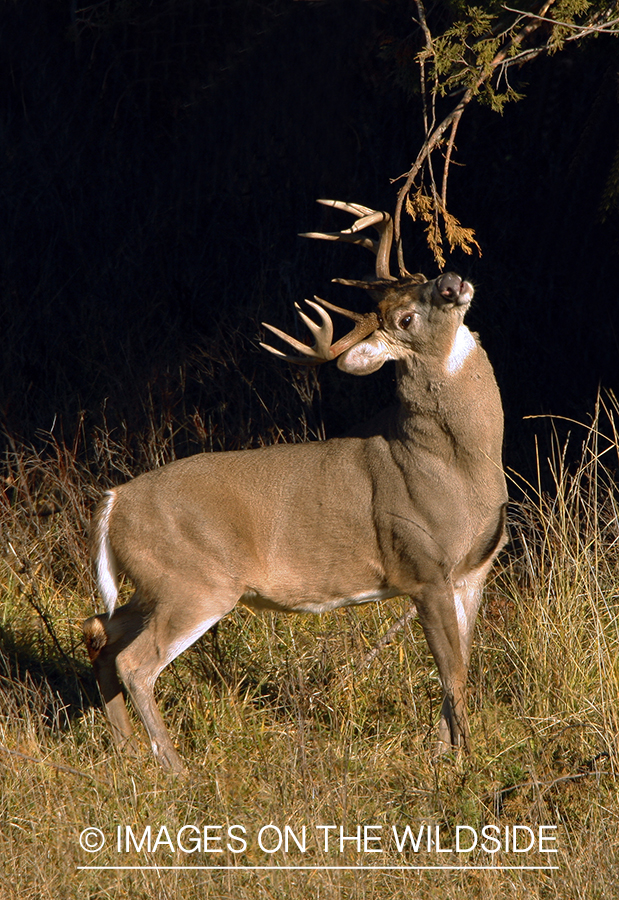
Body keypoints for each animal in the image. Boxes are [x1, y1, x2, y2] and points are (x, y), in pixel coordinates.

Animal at [82, 199, 508, 772]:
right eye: (404, 318)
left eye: (420, 278)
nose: (450, 281)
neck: (454, 468)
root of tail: (113, 502)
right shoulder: (423, 567)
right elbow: (454, 675)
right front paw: (471, 761)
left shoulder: (471, 573)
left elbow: (456, 672)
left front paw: (442, 755)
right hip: (195, 582)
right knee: (134, 662)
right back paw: (176, 769)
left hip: (155, 583)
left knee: (99, 632)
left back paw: (128, 752)